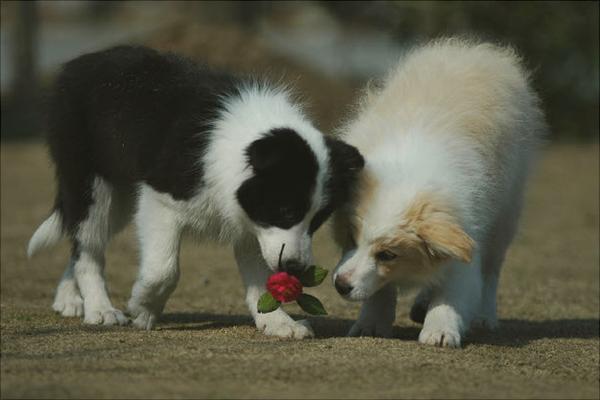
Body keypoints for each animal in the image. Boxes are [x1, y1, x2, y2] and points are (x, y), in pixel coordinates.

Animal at [30, 44, 364, 338]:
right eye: (285, 211)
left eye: (318, 221)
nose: (296, 268)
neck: (246, 143)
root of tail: (80, 63)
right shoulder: (160, 198)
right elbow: (164, 269)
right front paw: (143, 308)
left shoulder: (252, 220)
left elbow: (261, 276)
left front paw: (278, 323)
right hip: (92, 184)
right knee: (88, 245)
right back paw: (100, 309)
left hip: (120, 198)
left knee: (78, 240)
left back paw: (69, 299)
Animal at [330, 39, 548, 346]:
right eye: (350, 238)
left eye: (387, 255)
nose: (341, 285)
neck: (410, 171)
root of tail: (479, 51)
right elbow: (381, 289)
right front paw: (371, 323)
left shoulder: (466, 230)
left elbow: (453, 289)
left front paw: (441, 328)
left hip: (505, 216)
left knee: (491, 272)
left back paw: (484, 316)